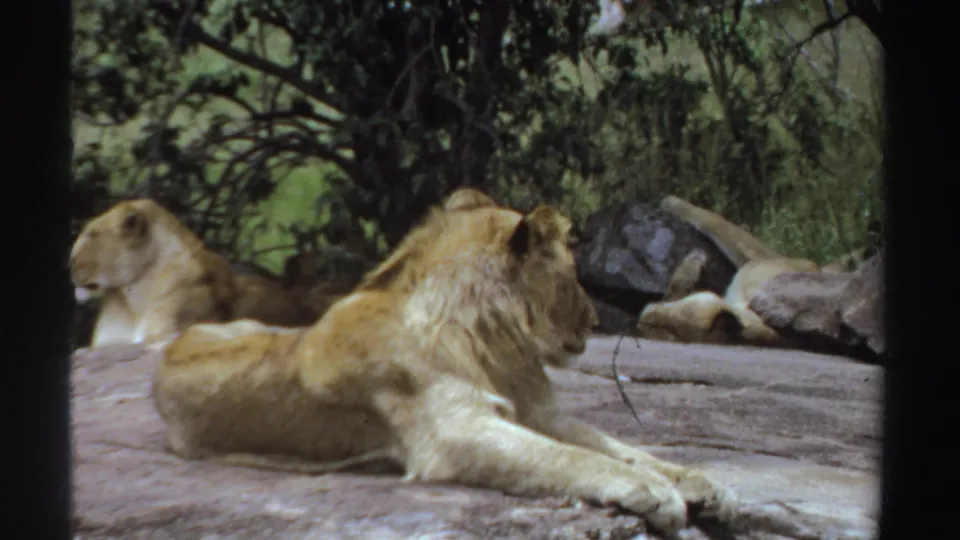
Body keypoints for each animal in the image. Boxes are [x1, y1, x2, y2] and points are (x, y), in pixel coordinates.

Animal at [151, 189, 737, 535]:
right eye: (573, 275)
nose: (596, 321)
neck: (493, 342)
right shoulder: (454, 432)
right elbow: (573, 459)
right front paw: (657, 494)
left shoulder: (538, 413)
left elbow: (619, 447)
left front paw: (701, 482)